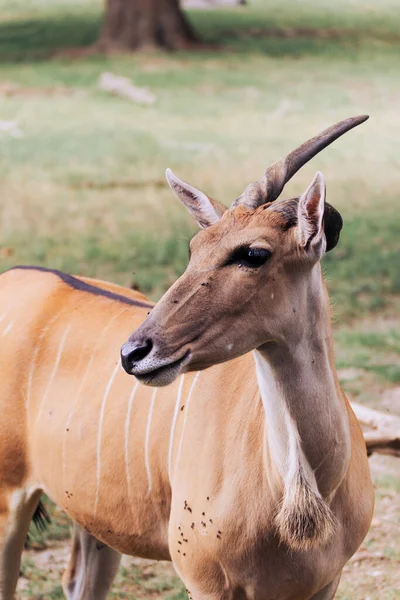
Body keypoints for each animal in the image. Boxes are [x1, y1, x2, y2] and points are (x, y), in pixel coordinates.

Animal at [0, 115, 376, 596]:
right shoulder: (205, 580)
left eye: (254, 253)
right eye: (194, 248)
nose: (134, 353)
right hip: (9, 501)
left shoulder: (325, 583)